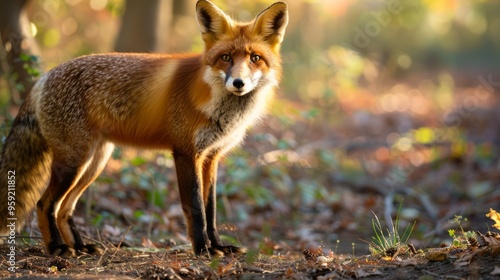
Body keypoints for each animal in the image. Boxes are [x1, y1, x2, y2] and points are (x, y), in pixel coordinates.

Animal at [0, 0, 288, 258]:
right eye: (226, 58)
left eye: (255, 58)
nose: (238, 83)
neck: (216, 104)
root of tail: (44, 77)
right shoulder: (186, 152)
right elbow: (195, 207)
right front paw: (202, 249)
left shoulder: (211, 157)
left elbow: (211, 210)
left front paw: (218, 246)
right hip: (73, 162)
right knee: (45, 204)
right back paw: (56, 249)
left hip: (93, 163)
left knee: (64, 208)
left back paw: (80, 247)